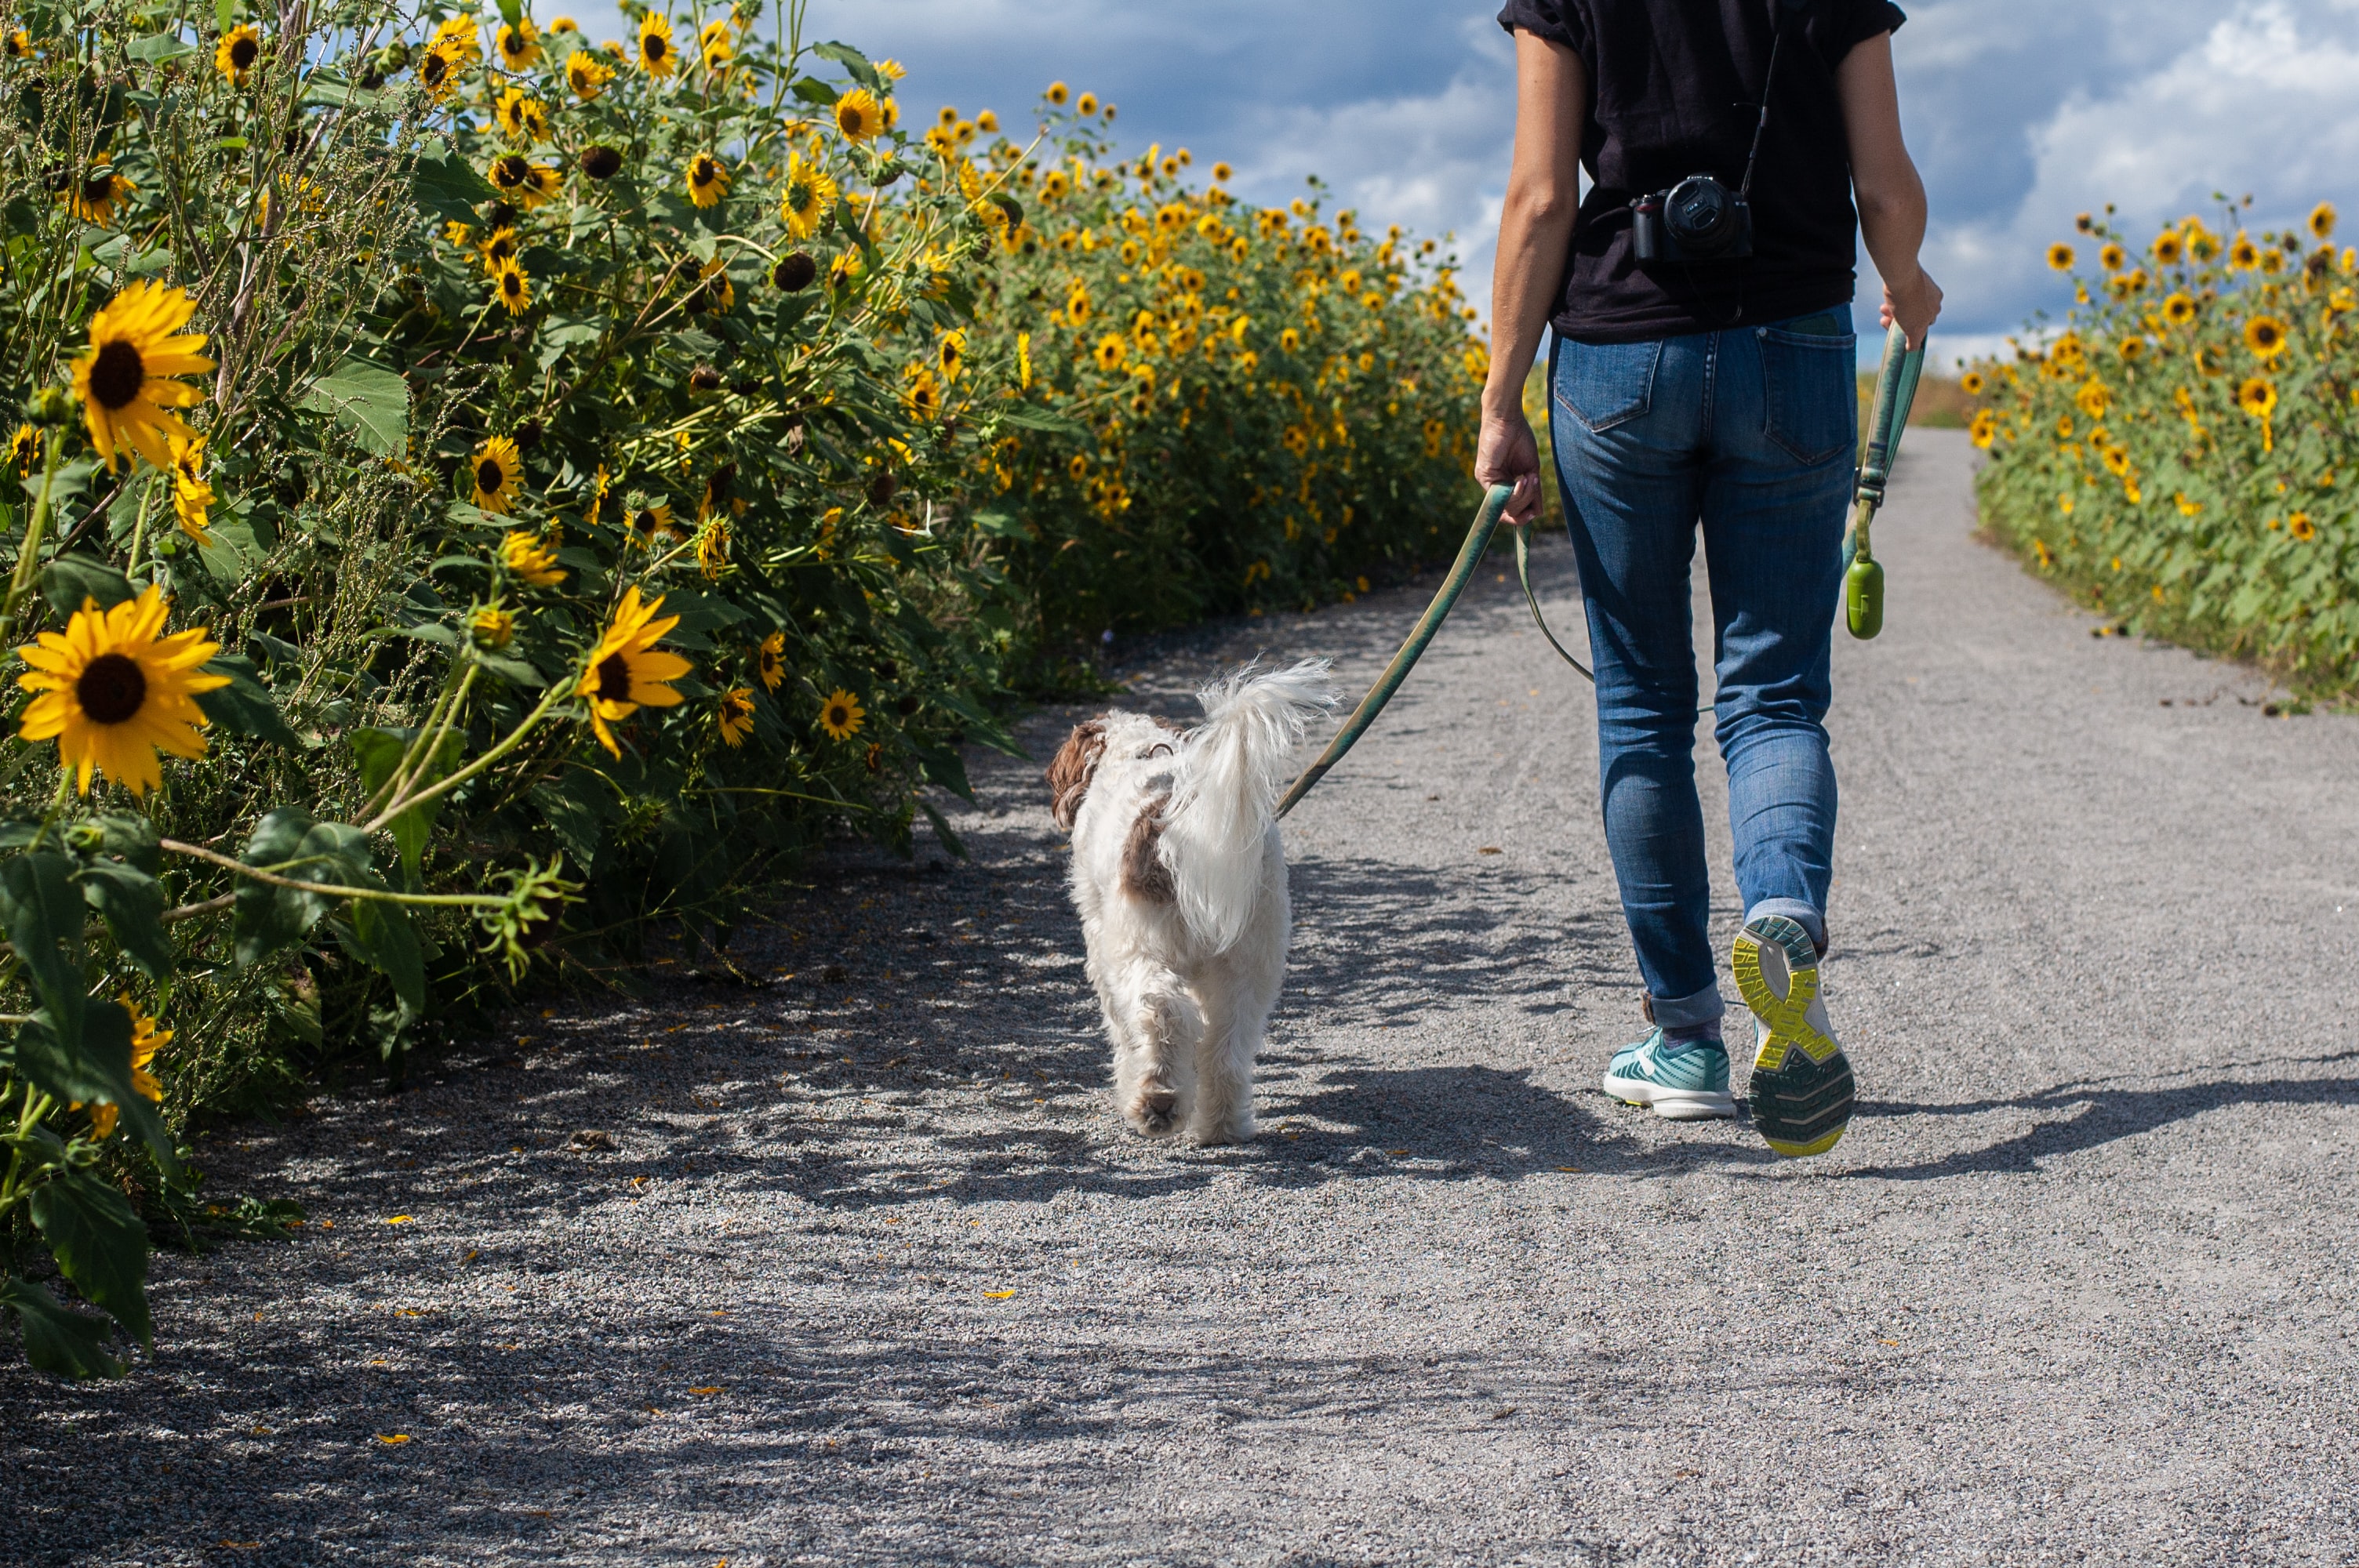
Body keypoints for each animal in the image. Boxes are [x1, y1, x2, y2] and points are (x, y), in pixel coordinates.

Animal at [1047, 655, 1339, 1145]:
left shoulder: (1102, 948)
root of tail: (1178, 818)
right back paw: (1222, 1126)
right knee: (1227, 1048)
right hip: (1250, 964)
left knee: (1163, 1014)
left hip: (1141, 950)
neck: (1136, 751)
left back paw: (1157, 1101)